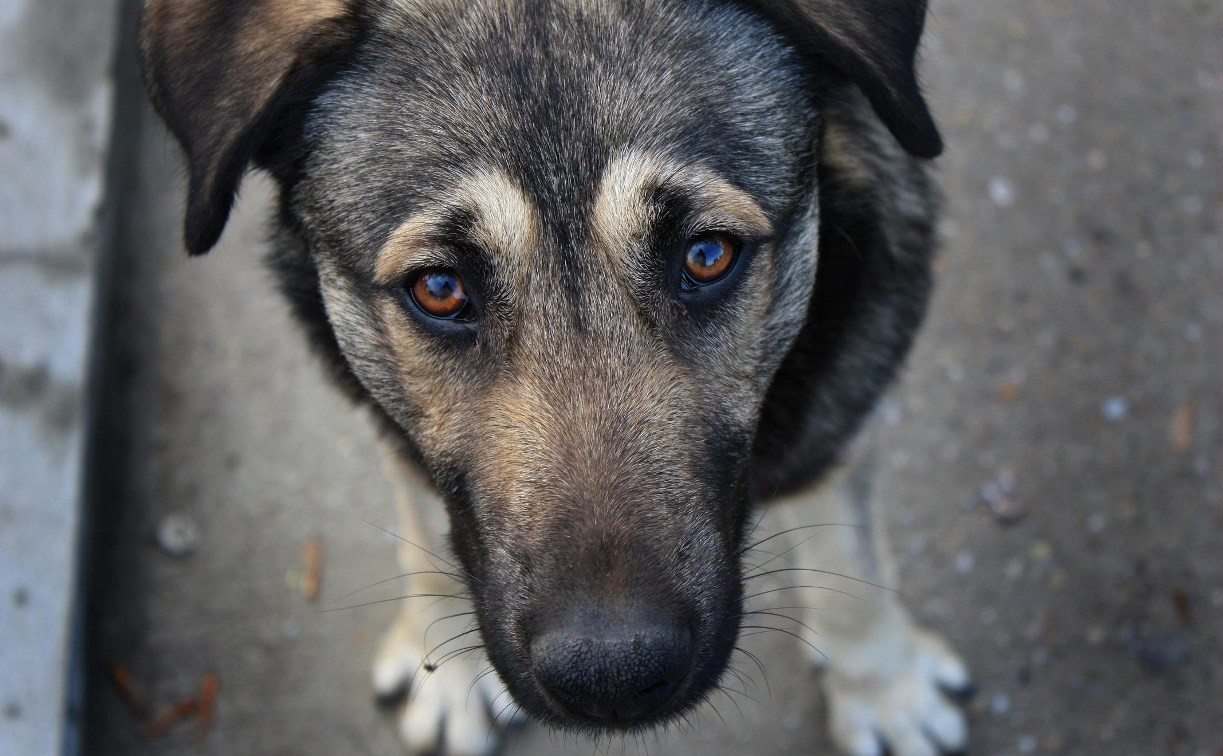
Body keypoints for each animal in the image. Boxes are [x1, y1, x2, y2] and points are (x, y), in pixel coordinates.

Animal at [138, 2, 968, 748]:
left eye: (707, 255)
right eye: (439, 289)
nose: (612, 677)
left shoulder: (843, 398)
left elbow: (851, 559)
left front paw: (883, 687)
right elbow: (425, 524)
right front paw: (447, 660)